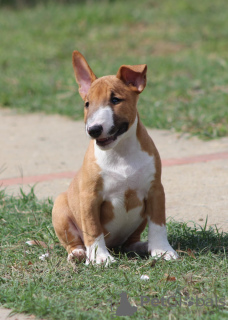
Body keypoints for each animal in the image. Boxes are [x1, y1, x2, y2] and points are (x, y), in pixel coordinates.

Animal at [52, 50, 178, 264]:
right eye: (87, 104)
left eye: (116, 100)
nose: (94, 130)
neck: (120, 151)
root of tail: (114, 245)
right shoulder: (89, 197)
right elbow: (93, 228)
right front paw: (99, 258)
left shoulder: (155, 190)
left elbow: (158, 224)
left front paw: (162, 250)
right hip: (60, 207)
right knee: (73, 241)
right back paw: (79, 253)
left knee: (130, 242)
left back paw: (143, 246)